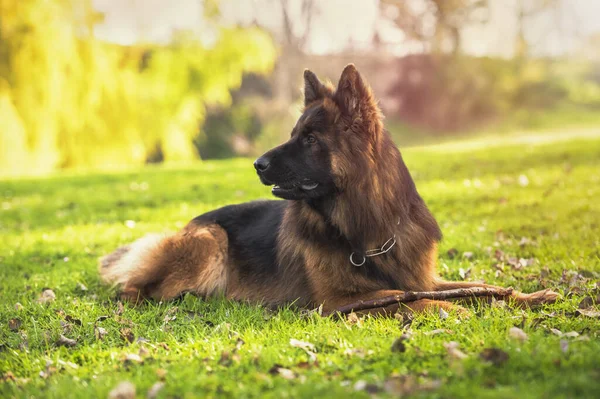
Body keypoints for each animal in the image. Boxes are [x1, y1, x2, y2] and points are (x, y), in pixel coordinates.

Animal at [102, 65, 556, 316]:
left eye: (309, 139)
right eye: (293, 134)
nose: (256, 164)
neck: (367, 229)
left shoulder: (423, 276)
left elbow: (479, 287)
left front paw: (528, 295)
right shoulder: (336, 301)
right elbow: (403, 299)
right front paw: (446, 309)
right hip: (210, 241)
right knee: (136, 285)